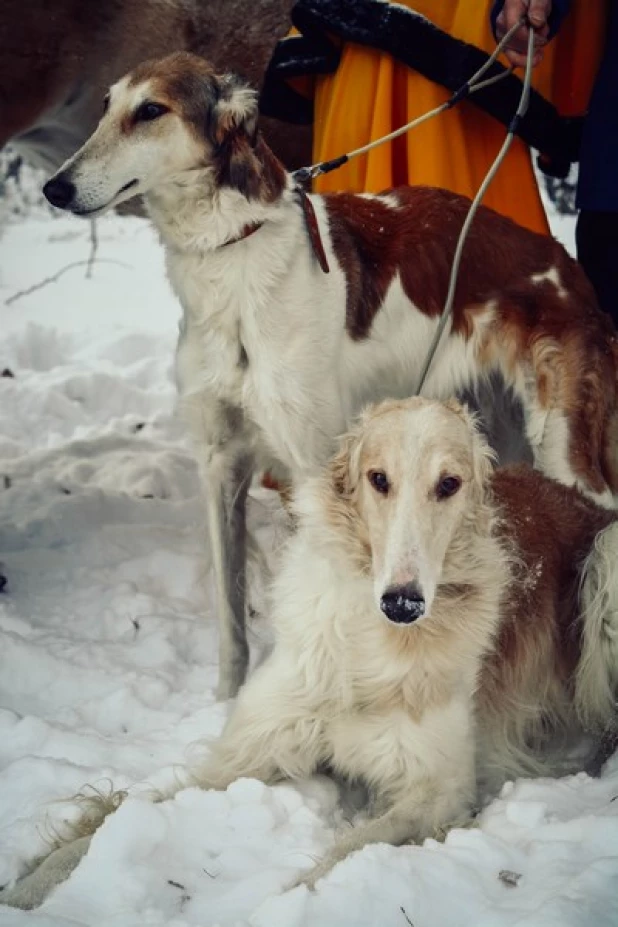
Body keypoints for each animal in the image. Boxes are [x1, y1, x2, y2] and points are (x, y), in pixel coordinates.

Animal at [4, 396, 616, 908]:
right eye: (378, 479)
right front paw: (32, 885)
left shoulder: (439, 792)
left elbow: (331, 863)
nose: (403, 603)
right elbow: (115, 815)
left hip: (605, 560)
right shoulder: (247, 753)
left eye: (449, 483)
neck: (368, 644)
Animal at [42, 50, 616, 704]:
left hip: (564, 450)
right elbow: (230, 615)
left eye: (151, 111)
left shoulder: (312, 464)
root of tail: (568, 269)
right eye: (106, 106)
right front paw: (227, 701)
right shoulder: (219, 462)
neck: (231, 255)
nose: (53, 189)